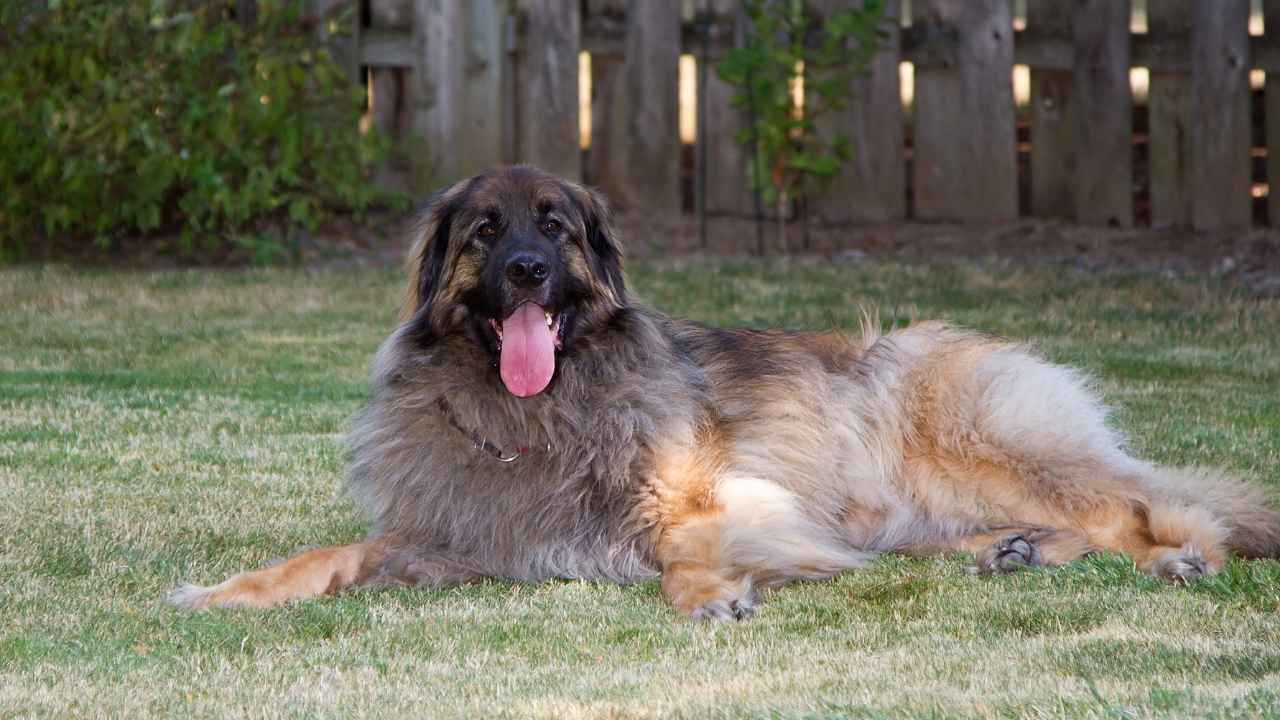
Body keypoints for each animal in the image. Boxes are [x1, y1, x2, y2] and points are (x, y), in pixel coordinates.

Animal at [175, 163, 1280, 617]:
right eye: (486, 230)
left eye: (555, 228)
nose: (528, 271)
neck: (539, 410)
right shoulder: (454, 533)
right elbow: (324, 557)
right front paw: (226, 591)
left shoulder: (709, 497)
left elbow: (683, 549)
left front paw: (709, 594)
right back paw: (1011, 552)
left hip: (990, 451)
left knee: (1140, 504)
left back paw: (1178, 555)